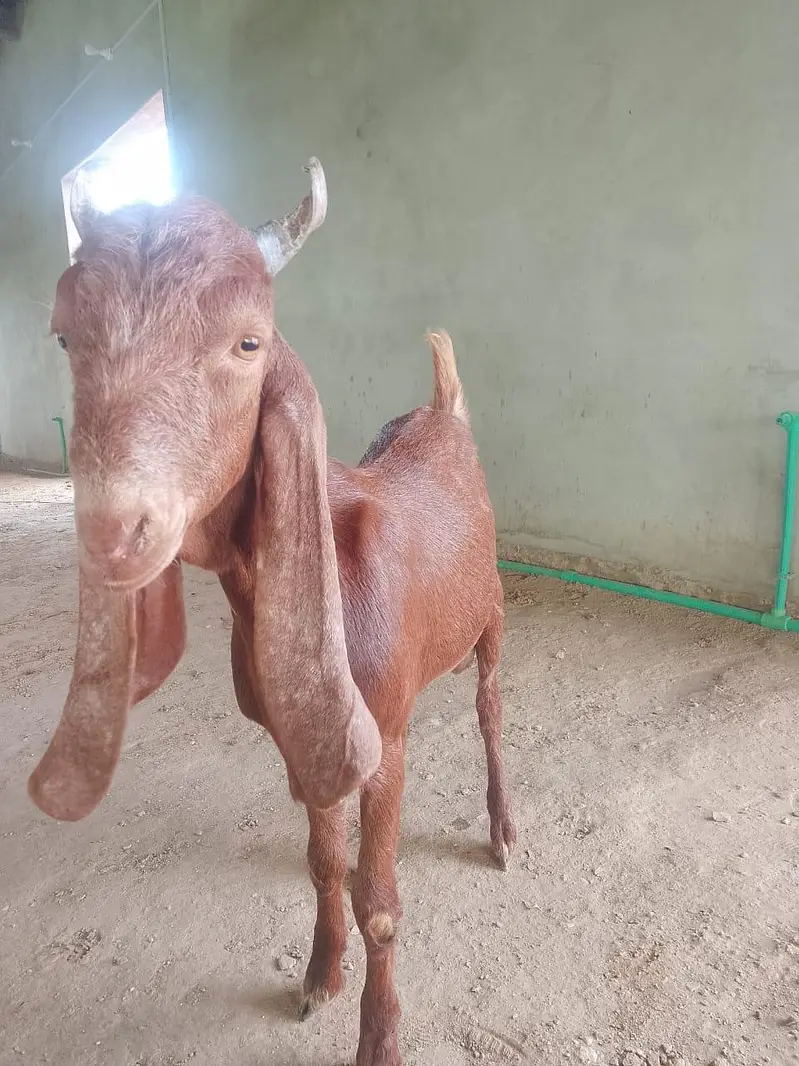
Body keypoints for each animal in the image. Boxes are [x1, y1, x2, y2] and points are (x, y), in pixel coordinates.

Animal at [28, 159, 516, 1066]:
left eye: (248, 342)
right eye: (66, 337)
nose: (115, 531)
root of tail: (442, 410)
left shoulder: (384, 737)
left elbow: (379, 900)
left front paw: (380, 1037)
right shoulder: (302, 736)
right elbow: (325, 865)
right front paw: (320, 976)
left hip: (494, 612)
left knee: (490, 708)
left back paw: (503, 828)